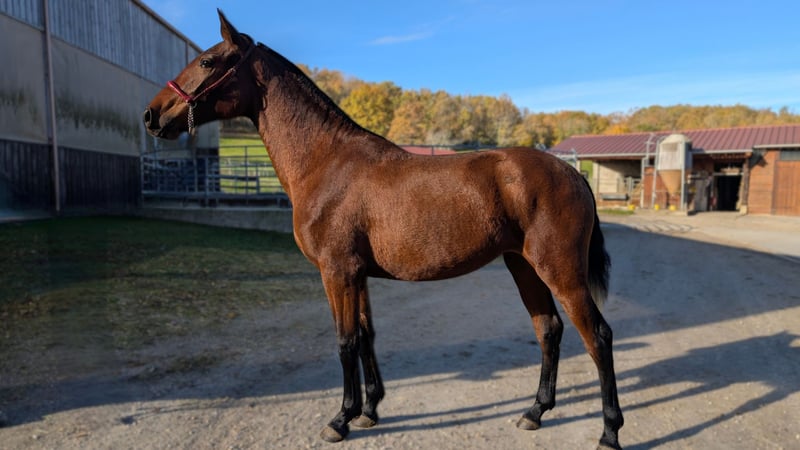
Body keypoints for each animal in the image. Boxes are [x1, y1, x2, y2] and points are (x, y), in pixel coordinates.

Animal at [143, 10, 624, 449]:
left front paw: (340, 419)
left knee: (598, 337)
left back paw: (609, 433)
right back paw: (535, 412)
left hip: (560, 271)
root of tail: (572, 172)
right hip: (524, 266)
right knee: (549, 330)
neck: (326, 161)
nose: (151, 115)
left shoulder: (336, 272)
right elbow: (365, 336)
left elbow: (344, 342)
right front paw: (370, 410)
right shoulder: (357, 275)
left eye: (207, 61)